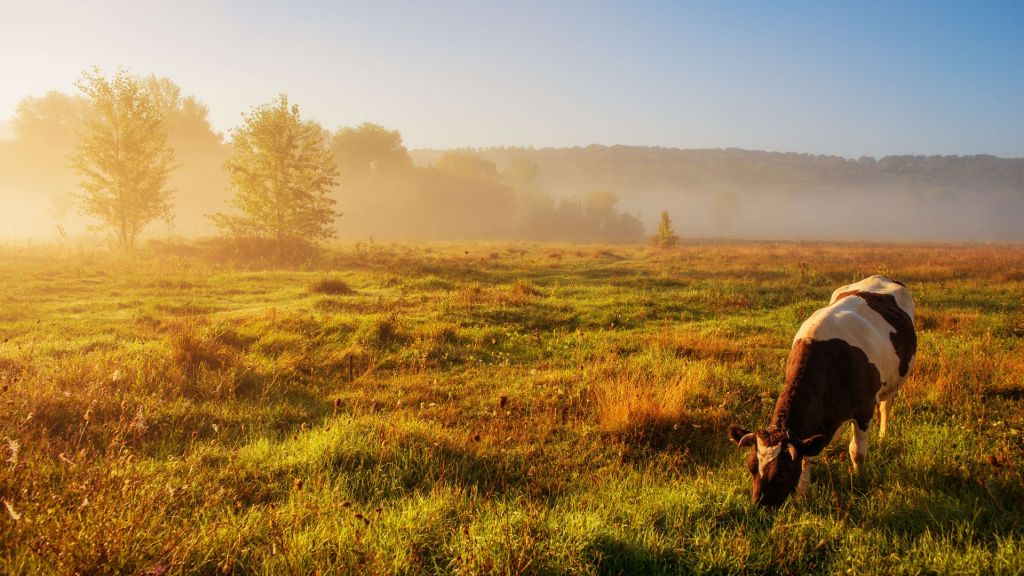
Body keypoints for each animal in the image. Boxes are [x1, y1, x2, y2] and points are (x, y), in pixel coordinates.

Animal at [724, 276, 917, 504]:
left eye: (781, 473)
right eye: (752, 467)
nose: (758, 504)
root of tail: (880, 277)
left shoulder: (865, 408)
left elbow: (857, 451)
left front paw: (859, 478)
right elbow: (807, 456)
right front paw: (802, 494)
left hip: (895, 381)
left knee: (886, 407)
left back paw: (882, 436)